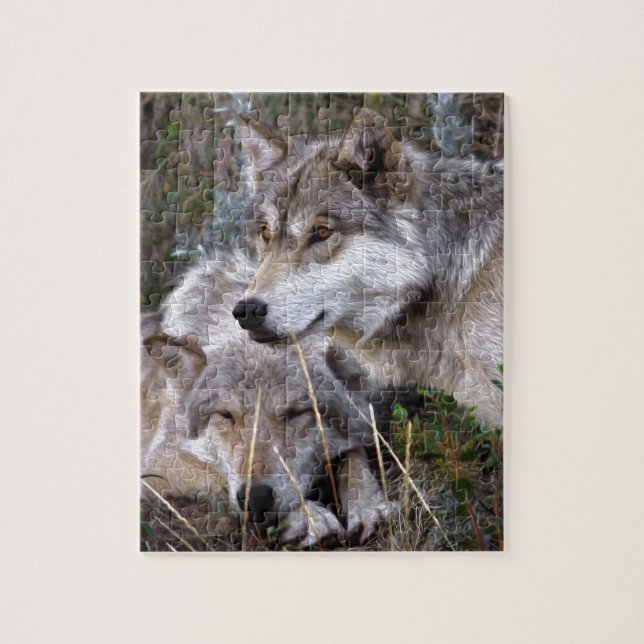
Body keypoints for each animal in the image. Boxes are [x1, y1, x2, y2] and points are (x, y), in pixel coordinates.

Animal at [141, 251, 389, 547]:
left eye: (295, 413)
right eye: (226, 415)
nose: (257, 498)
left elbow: (355, 454)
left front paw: (367, 504)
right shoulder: (156, 462)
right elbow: (217, 475)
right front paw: (309, 518)